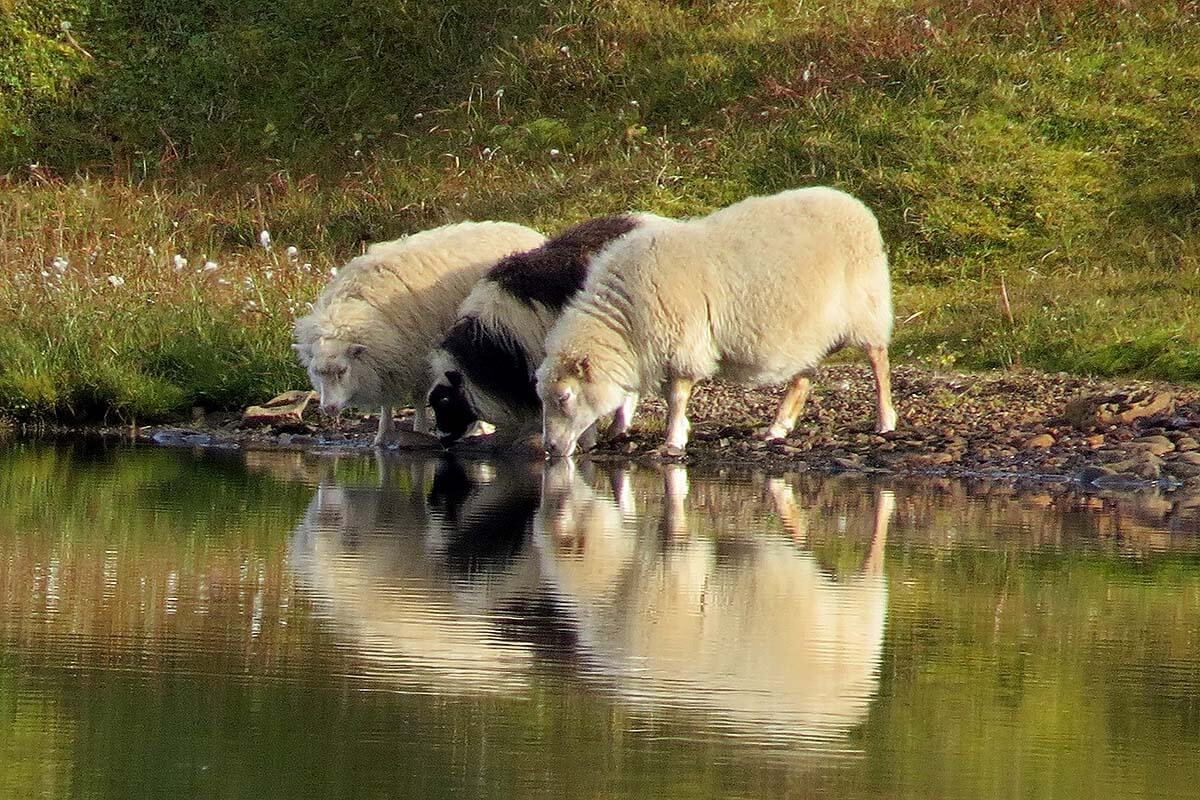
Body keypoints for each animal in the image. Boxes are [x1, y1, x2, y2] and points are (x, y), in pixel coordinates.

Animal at [292, 221, 546, 445]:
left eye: (343, 370)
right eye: (316, 372)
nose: (328, 408)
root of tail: (528, 231)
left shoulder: (416, 357)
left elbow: (418, 397)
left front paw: (420, 430)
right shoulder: (389, 360)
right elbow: (386, 402)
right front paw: (382, 436)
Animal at [536, 186, 897, 457]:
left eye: (563, 397)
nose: (550, 448)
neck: (626, 322)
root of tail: (852, 203)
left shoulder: (683, 342)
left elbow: (676, 397)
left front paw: (673, 441)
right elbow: (662, 395)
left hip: (866, 306)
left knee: (878, 359)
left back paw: (885, 420)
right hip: (811, 330)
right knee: (803, 376)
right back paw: (778, 427)